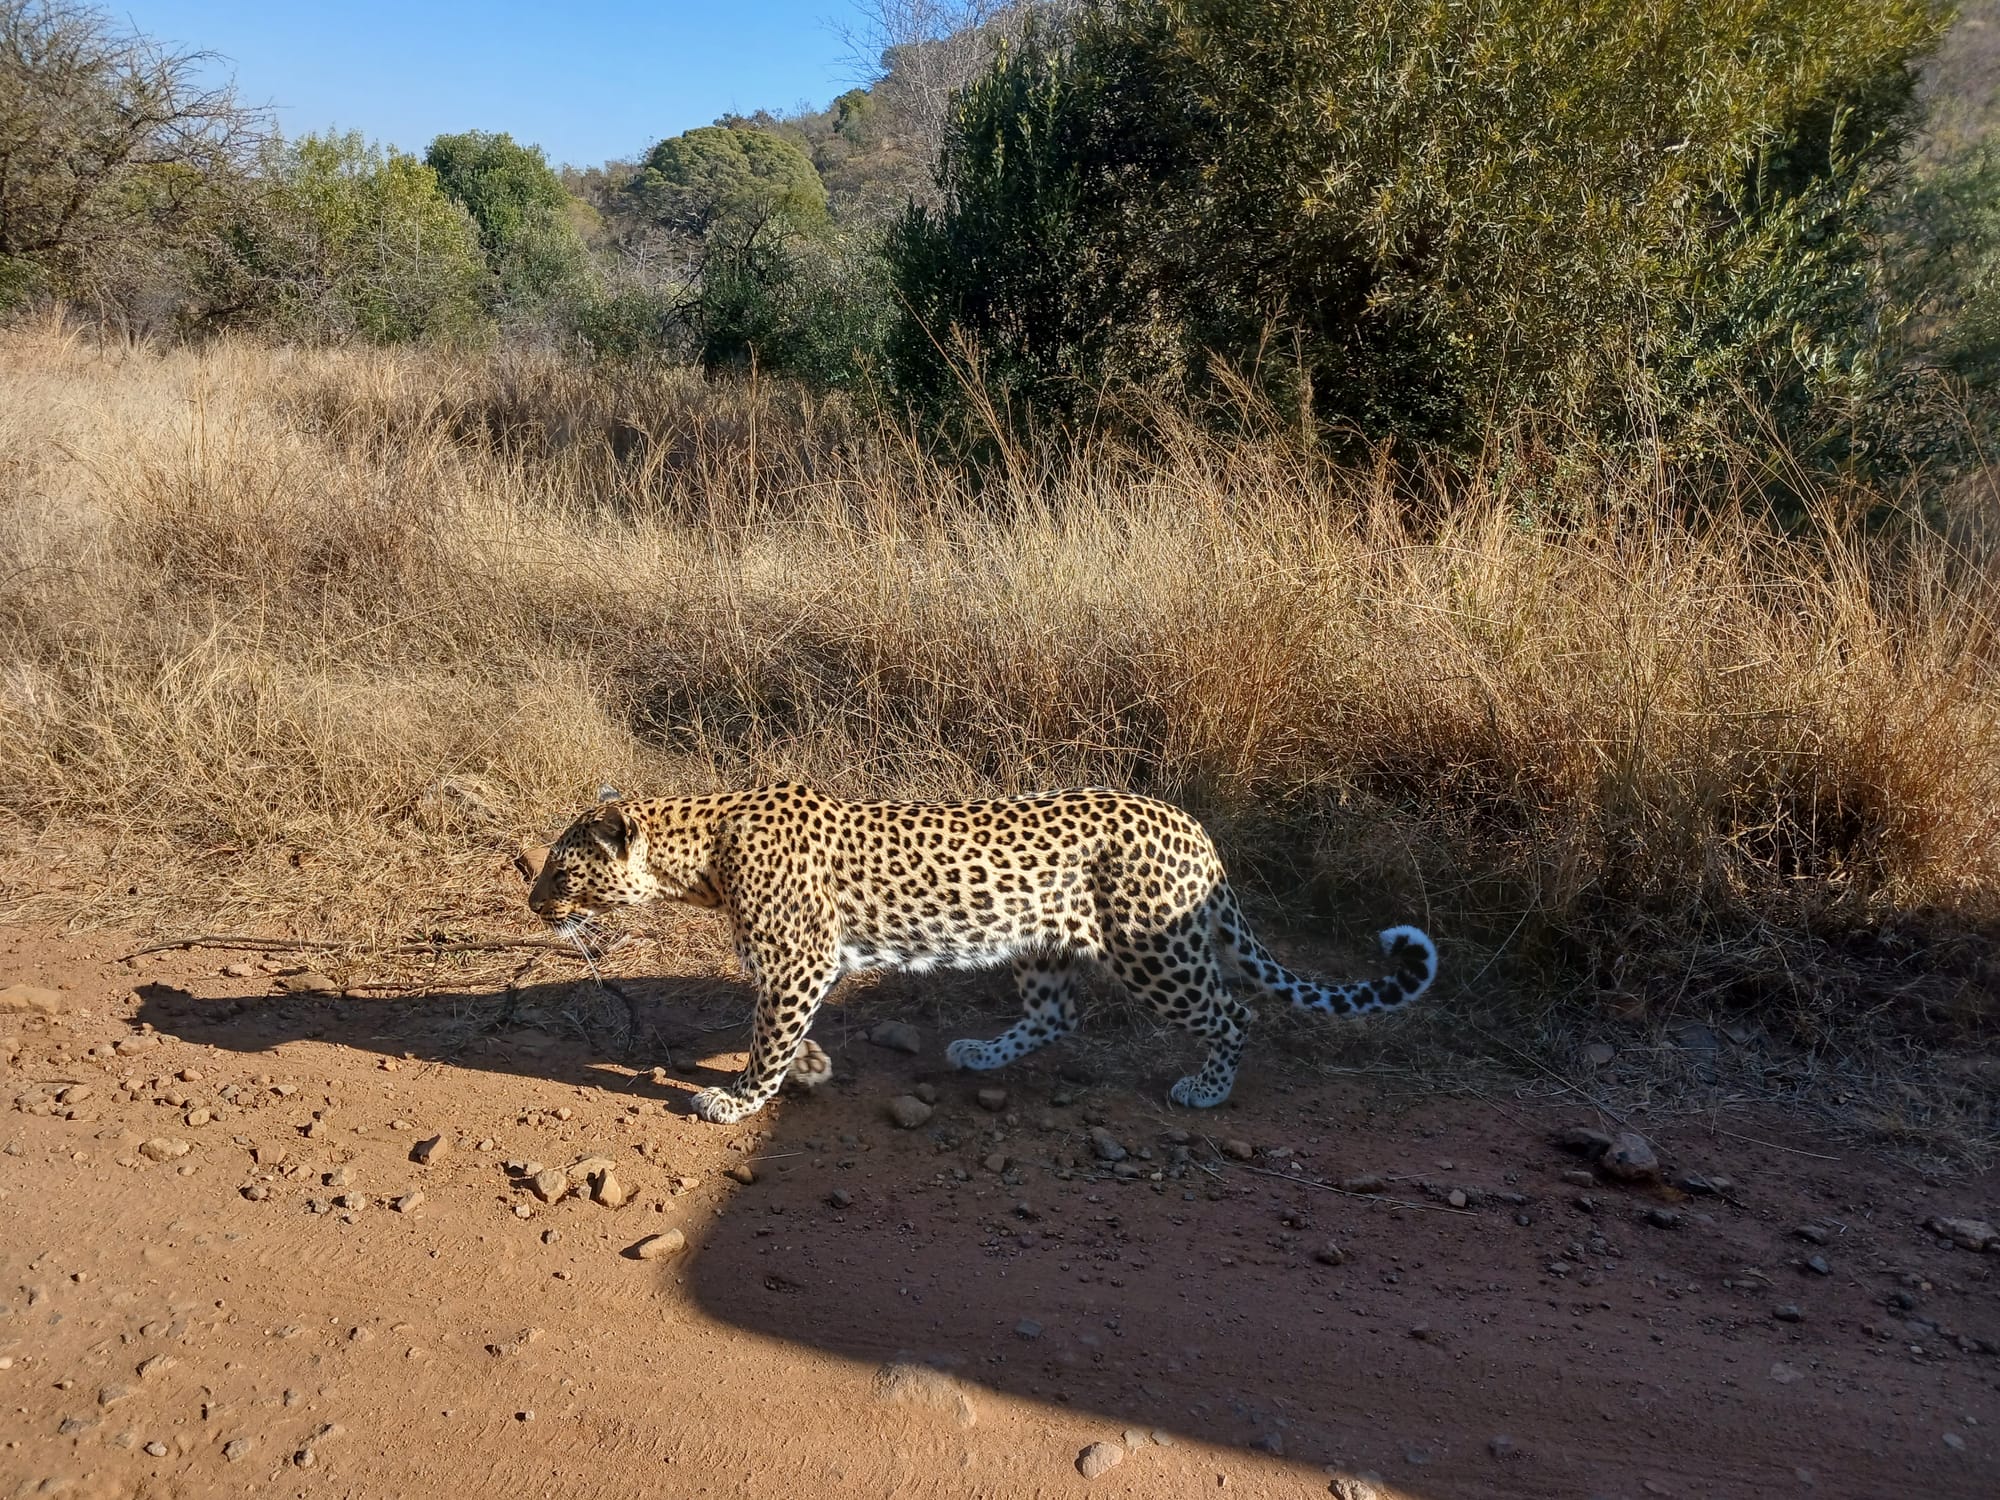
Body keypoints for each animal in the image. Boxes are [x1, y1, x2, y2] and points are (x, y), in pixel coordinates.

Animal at [528, 788, 1440, 1128]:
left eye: (562, 869)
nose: (534, 903)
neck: (701, 854)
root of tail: (1194, 828)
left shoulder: (797, 962)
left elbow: (767, 1034)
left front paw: (740, 1099)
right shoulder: (807, 967)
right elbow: (783, 1032)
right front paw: (811, 1069)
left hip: (1156, 950)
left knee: (1234, 1009)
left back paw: (1207, 1088)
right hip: (1045, 943)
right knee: (1056, 1013)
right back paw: (977, 1053)